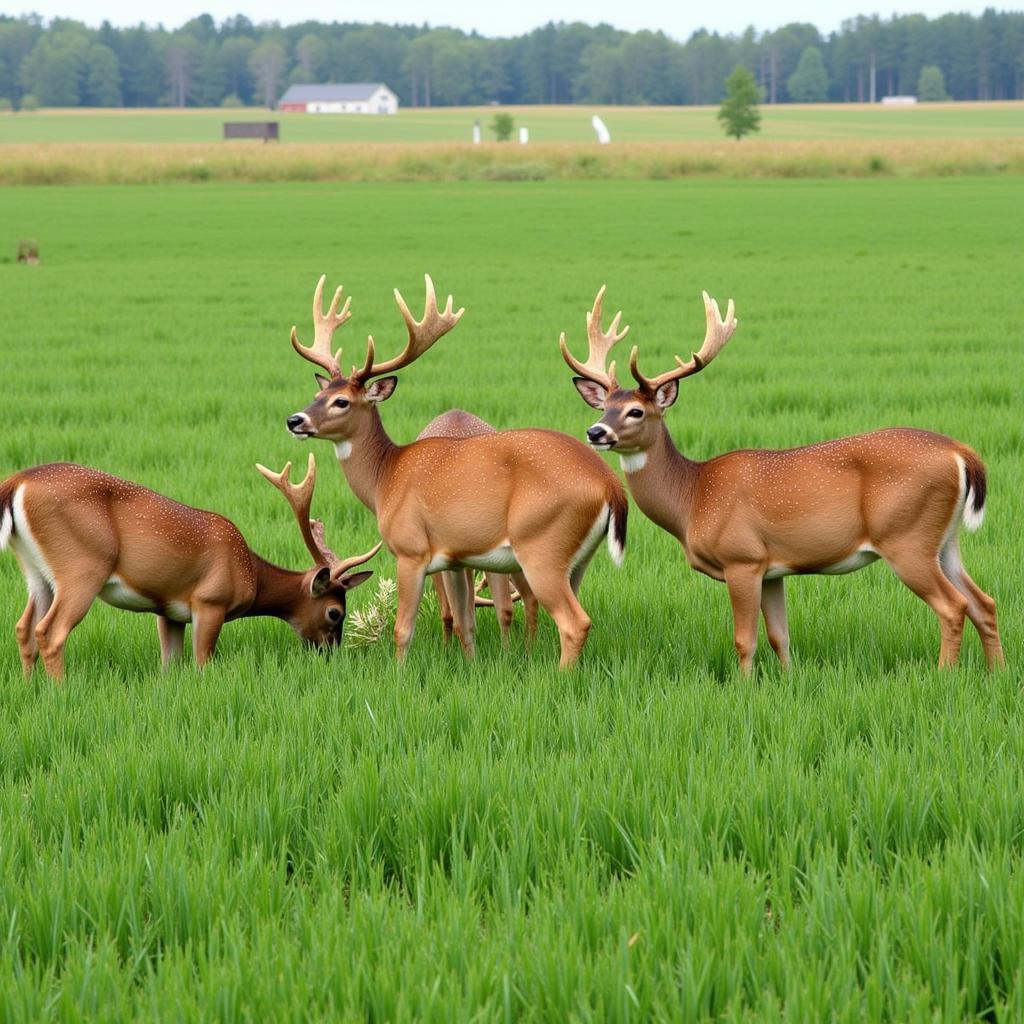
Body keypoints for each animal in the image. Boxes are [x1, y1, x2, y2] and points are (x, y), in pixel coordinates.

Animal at [0, 456, 380, 679]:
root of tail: (17, 483)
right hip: (82, 567)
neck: (251, 574)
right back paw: (59, 691)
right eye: (334, 612)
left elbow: (170, 664)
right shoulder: (210, 601)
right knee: (50, 632)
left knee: (23, 628)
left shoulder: (168, 612)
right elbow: (201, 664)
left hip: (36, 572)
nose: (329, 653)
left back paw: (31, 688)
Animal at [561, 284, 999, 675]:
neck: (693, 496)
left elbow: (744, 639)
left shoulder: (742, 557)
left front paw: (744, 688)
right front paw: (788, 682)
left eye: (636, 411)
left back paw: (944, 675)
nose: (596, 432)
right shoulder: (774, 569)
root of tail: (961, 452)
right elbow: (780, 637)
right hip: (944, 539)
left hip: (906, 536)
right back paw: (998, 673)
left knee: (953, 606)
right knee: (984, 602)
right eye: (604, 406)